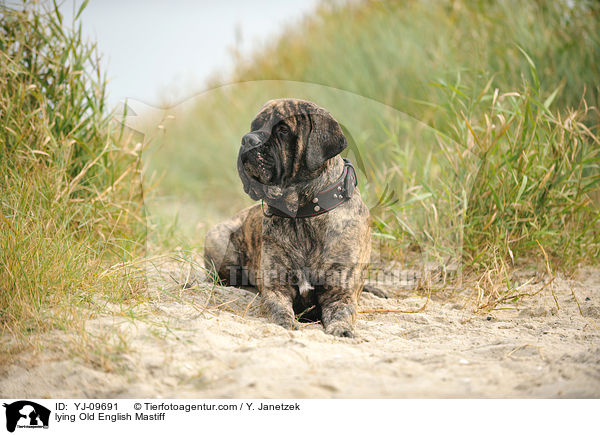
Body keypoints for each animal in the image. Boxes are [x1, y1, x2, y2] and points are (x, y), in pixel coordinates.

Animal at [204, 99, 370, 338]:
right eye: (254, 126)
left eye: (282, 130)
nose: (248, 139)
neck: (302, 213)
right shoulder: (276, 288)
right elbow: (279, 309)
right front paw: (285, 324)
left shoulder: (340, 292)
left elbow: (342, 312)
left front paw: (341, 329)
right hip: (218, 240)